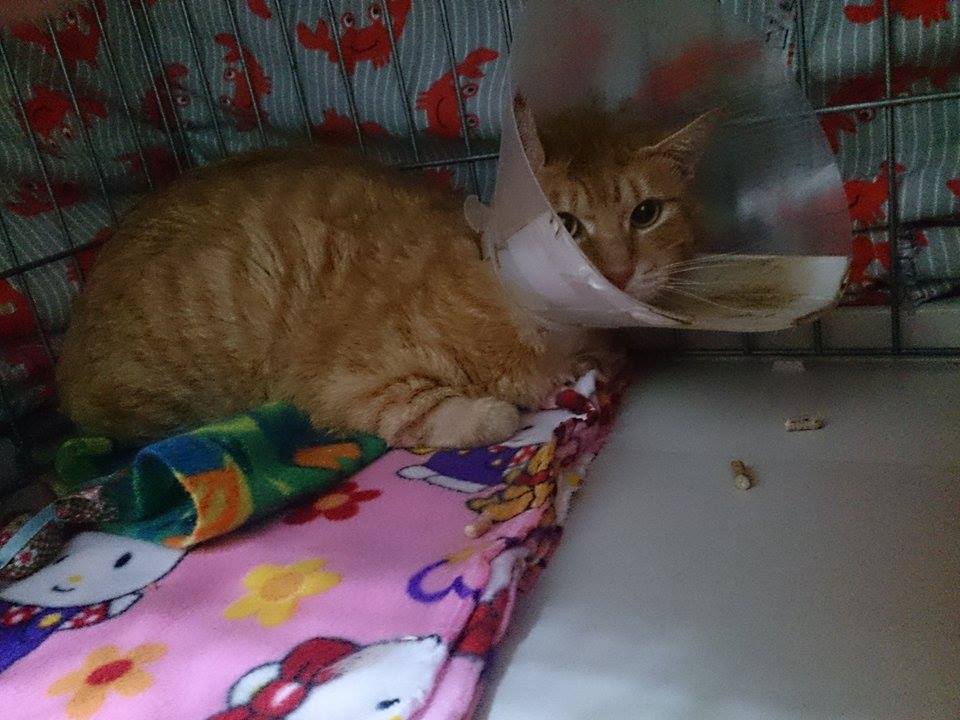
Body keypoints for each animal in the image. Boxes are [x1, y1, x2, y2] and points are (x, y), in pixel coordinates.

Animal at [56, 94, 714, 448]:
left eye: (646, 214)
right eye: (566, 225)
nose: (618, 273)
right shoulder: (347, 382)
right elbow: (434, 409)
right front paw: (495, 409)